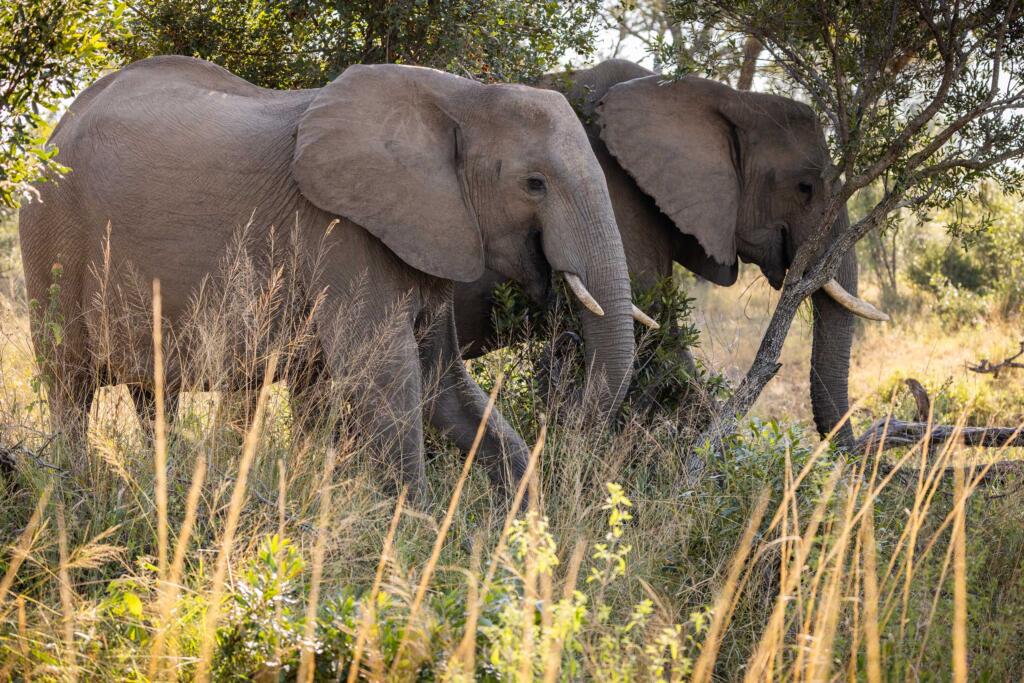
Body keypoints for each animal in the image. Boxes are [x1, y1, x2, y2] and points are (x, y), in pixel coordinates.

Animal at [19, 55, 642, 502]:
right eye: (534, 184)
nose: (567, 421)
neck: (460, 97)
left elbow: (444, 386)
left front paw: (523, 531)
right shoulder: (342, 234)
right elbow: (387, 379)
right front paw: (412, 535)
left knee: (152, 394)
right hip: (50, 236)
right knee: (69, 384)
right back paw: (72, 489)